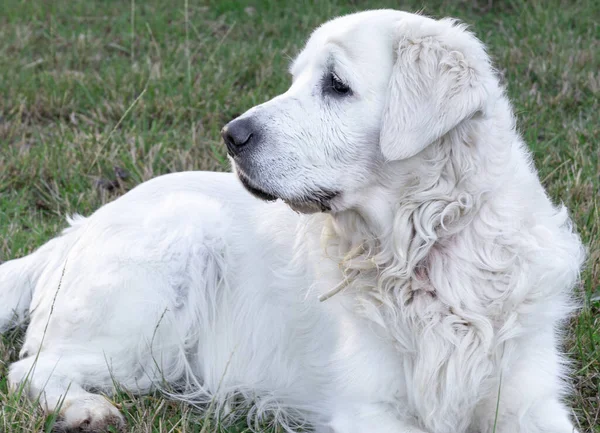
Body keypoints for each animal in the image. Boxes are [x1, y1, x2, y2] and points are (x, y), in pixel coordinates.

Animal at [0, 7, 584, 432]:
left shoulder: (529, 399)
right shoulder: (367, 407)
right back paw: (87, 409)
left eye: (336, 84)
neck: (422, 247)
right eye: (296, 79)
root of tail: (78, 228)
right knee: (29, 367)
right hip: (161, 293)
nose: (231, 135)